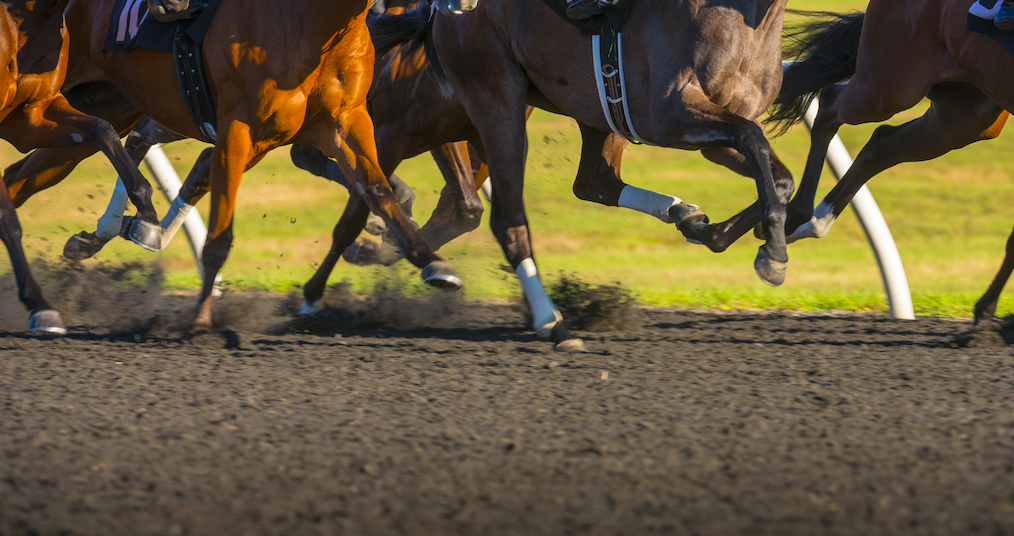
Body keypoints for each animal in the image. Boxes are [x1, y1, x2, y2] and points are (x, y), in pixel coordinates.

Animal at [766, 2, 1014, 322]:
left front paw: (988, 310)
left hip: (966, 113)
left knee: (880, 145)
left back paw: (810, 222)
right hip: (889, 87)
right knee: (831, 104)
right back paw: (795, 216)